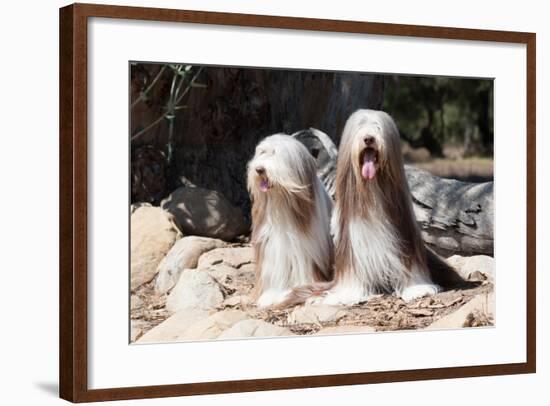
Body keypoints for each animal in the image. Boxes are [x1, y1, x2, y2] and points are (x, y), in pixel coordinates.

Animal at [248, 134, 334, 308]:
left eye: (276, 154)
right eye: (262, 153)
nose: (259, 169)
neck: (282, 204)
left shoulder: (307, 247)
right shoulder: (269, 243)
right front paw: (270, 295)